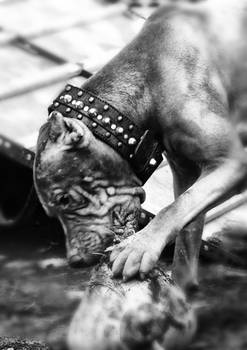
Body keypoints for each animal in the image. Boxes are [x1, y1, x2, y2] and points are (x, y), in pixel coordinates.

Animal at [33, 0, 247, 292]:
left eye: (65, 199)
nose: (75, 261)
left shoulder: (233, 162)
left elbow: (174, 208)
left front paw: (137, 248)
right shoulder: (187, 172)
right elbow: (187, 230)